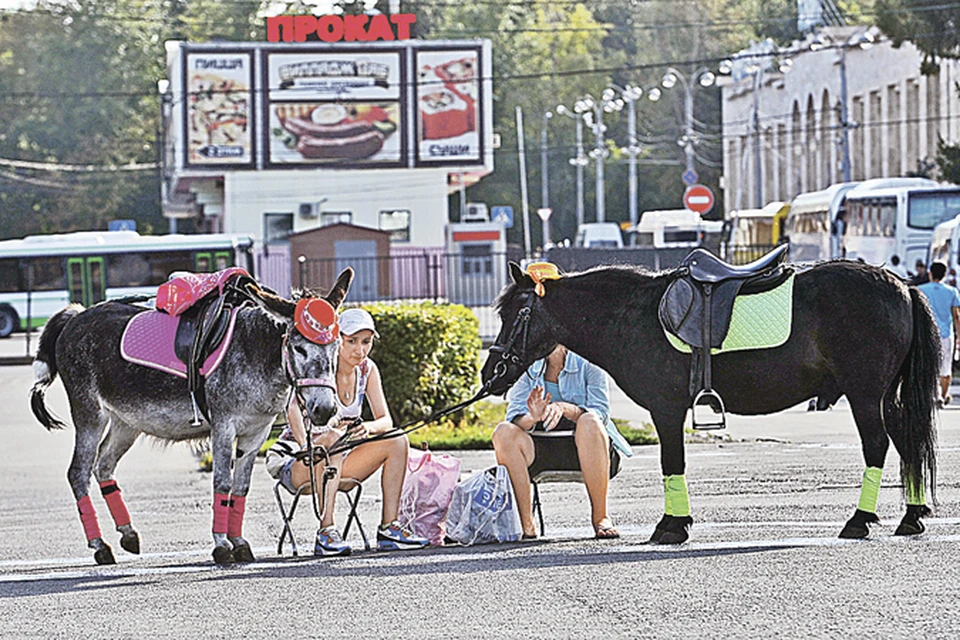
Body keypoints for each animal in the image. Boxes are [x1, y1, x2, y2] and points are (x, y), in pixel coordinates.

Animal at [480, 260, 936, 544]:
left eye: (517, 312)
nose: (490, 374)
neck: (633, 316)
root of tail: (903, 285)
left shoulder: (666, 409)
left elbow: (671, 463)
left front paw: (672, 526)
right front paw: (675, 523)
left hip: (865, 395)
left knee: (877, 445)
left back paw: (860, 521)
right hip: (884, 397)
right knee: (906, 441)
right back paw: (911, 517)